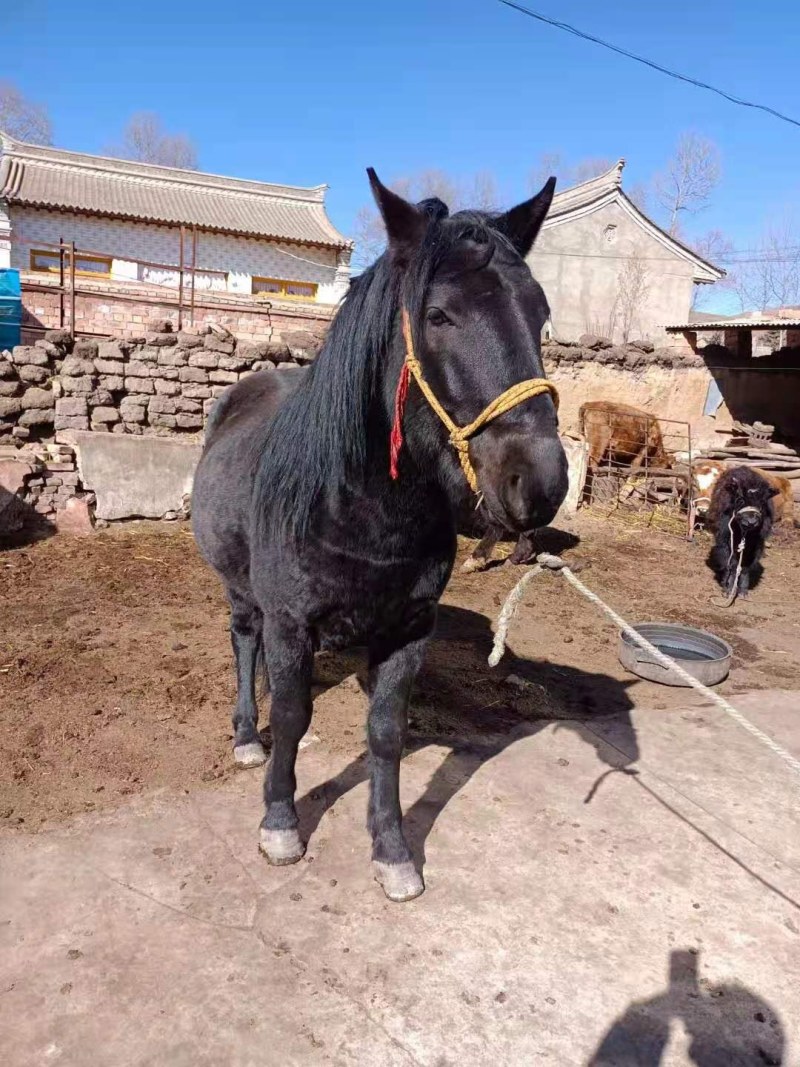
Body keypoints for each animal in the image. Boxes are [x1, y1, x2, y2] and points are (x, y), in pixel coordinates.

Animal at [191, 170, 568, 902]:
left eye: (539, 315)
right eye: (439, 316)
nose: (539, 483)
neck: (358, 512)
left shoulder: (408, 631)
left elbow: (388, 733)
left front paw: (393, 850)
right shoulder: (289, 622)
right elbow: (292, 719)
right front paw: (280, 823)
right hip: (240, 590)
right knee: (244, 643)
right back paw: (246, 735)